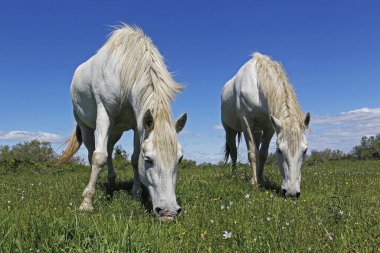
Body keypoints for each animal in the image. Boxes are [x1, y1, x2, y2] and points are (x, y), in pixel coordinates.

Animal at [59, 24, 187, 220]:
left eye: (179, 159)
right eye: (148, 159)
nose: (168, 212)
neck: (125, 70)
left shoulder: (137, 124)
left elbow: (133, 158)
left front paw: (136, 193)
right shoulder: (104, 113)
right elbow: (99, 157)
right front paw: (86, 203)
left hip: (116, 130)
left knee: (110, 149)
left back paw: (112, 182)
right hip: (86, 126)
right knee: (92, 153)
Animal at [221, 52, 310, 198]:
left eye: (305, 150)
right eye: (279, 150)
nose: (291, 193)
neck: (257, 85)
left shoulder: (270, 126)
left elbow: (263, 154)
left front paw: (260, 180)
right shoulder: (246, 122)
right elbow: (252, 153)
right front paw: (255, 184)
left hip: (257, 130)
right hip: (230, 130)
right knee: (234, 152)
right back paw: (234, 176)